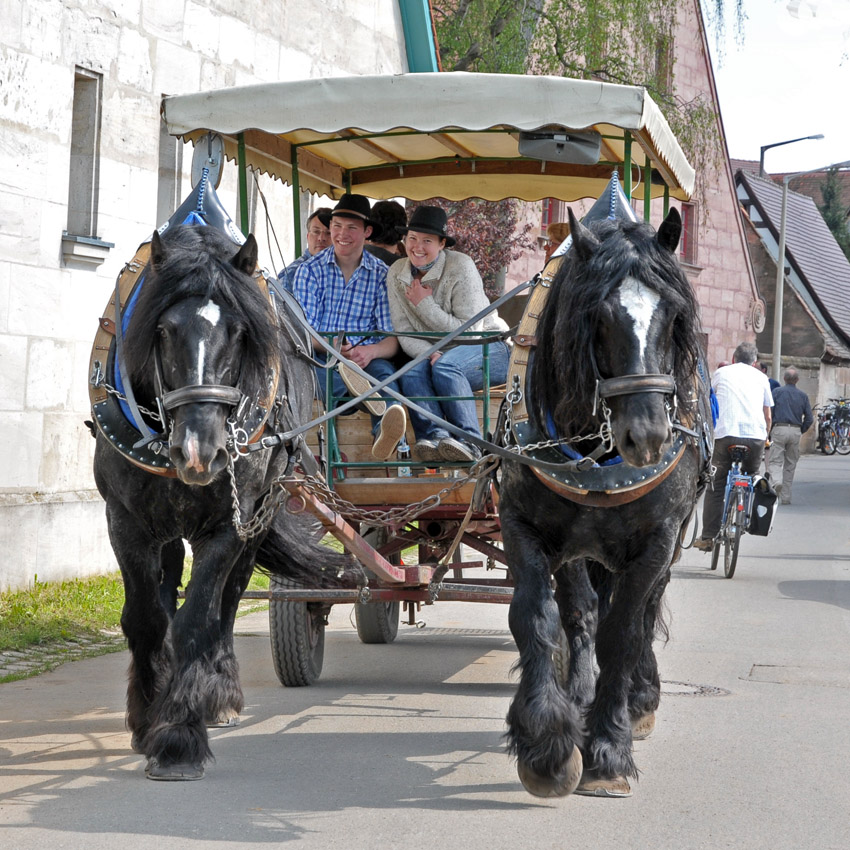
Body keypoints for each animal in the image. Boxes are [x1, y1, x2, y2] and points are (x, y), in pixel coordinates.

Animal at [91, 222, 346, 780]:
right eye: (163, 330)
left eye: (238, 332)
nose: (199, 451)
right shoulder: (124, 520)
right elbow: (146, 618)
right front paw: (148, 717)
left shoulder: (234, 521)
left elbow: (199, 619)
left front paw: (180, 736)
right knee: (166, 592)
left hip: (258, 520)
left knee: (228, 603)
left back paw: (220, 693)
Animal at [496, 205, 708, 796]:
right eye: (599, 317)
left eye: (674, 314)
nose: (649, 436)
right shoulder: (522, 527)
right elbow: (537, 618)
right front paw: (546, 741)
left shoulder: (656, 542)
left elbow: (625, 633)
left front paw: (610, 749)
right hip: (576, 548)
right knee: (581, 612)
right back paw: (578, 694)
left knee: (642, 613)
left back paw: (639, 698)